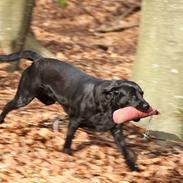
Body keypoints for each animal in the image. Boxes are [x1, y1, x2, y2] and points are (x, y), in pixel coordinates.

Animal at [0, 50, 149, 170]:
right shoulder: (75, 121)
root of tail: (39, 59)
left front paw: (133, 167)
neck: (107, 106)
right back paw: (1, 120)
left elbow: (125, 150)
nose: (147, 106)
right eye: (132, 96)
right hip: (24, 97)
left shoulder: (116, 130)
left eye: (142, 94)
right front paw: (67, 153)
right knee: (7, 105)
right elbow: (69, 138)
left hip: (47, 100)